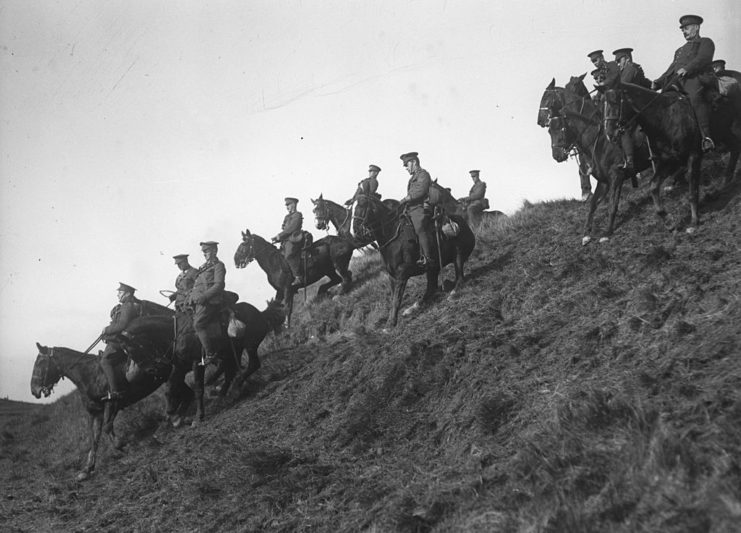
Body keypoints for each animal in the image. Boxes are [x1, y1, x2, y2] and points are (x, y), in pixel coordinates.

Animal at [32, 326, 177, 480]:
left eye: (40, 363)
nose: (34, 390)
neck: (89, 375)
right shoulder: (96, 413)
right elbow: (94, 439)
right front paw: (87, 469)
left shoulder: (112, 403)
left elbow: (107, 428)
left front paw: (123, 445)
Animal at [354, 194, 474, 326]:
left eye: (363, 205)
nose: (356, 235)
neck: (393, 235)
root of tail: (463, 223)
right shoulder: (392, 276)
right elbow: (393, 297)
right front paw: (391, 320)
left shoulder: (403, 272)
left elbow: (396, 299)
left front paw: (390, 324)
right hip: (433, 268)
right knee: (431, 288)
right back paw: (414, 307)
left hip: (458, 255)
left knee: (460, 277)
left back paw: (454, 293)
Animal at [540, 76, 652, 243]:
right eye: (549, 131)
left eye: (561, 127)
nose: (557, 155)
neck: (599, 141)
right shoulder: (604, 181)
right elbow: (593, 204)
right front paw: (586, 233)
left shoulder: (616, 177)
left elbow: (613, 204)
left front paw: (607, 232)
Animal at [600, 78, 740, 231]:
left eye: (614, 101)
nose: (609, 134)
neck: (665, 119)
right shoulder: (669, 161)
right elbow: (653, 186)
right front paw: (667, 219)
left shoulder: (693, 156)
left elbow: (692, 190)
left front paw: (694, 220)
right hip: (724, 133)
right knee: (735, 147)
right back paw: (726, 181)